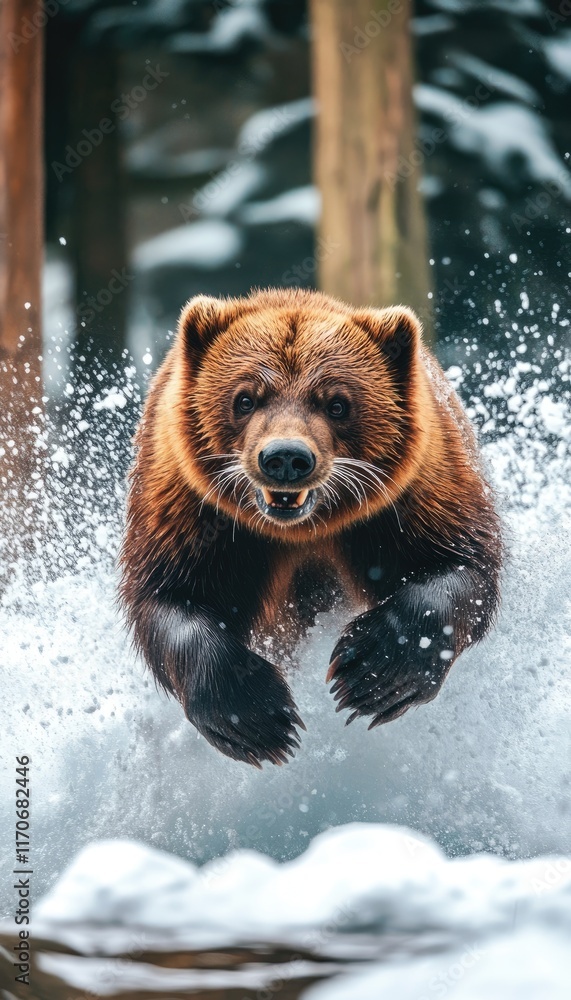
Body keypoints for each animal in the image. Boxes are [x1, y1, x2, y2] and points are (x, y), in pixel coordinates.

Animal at [120, 288, 501, 767]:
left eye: (337, 403)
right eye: (245, 398)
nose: (285, 456)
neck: (302, 530)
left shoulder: (411, 497)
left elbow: (460, 566)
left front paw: (371, 672)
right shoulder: (192, 509)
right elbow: (169, 595)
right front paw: (257, 717)